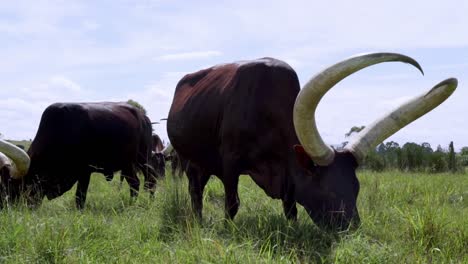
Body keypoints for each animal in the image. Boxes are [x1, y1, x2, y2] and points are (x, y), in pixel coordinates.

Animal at [0, 102, 157, 209]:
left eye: (10, 186)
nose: (3, 207)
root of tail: (143, 116)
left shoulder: (84, 171)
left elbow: (79, 197)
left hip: (141, 159)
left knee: (145, 182)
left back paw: (140, 204)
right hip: (128, 164)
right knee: (139, 183)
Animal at [165, 52, 458, 230]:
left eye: (356, 188)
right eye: (327, 190)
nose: (353, 230)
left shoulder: (287, 173)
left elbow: (291, 207)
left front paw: (292, 230)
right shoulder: (230, 164)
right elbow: (232, 204)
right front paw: (228, 229)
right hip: (190, 160)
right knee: (195, 193)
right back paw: (198, 221)